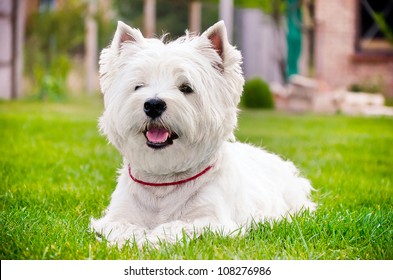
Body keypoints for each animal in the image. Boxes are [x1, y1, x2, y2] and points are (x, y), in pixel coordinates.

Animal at [90, 20, 314, 246]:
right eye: (138, 86)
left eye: (186, 88)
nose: (153, 105)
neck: (163, 183)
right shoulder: (117, 216)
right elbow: (125, 228)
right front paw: (131, 241)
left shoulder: (212, 220)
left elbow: (175, 226)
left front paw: (151, 241)